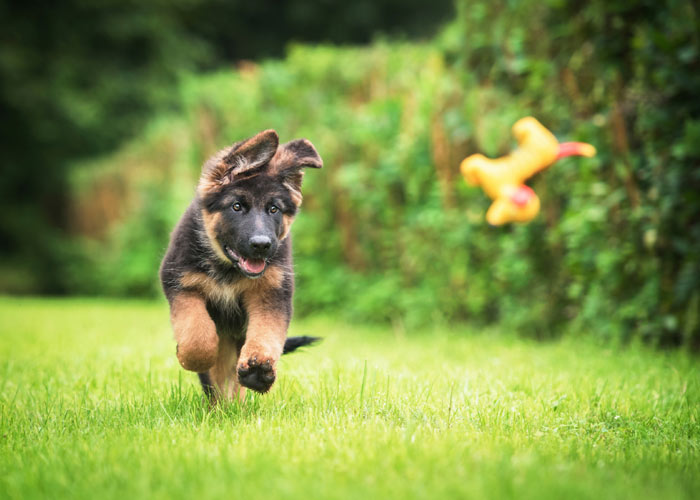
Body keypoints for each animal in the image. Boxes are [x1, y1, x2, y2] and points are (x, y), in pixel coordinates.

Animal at [160, 128, 322, 402]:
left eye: (273, 209)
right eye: (237, 206)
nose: (262, 245)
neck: (229, 269)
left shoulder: (271, 293)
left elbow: (266, 332)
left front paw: (259, 370)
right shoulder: (181, 284)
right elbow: (196, 334)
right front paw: (193, 357)